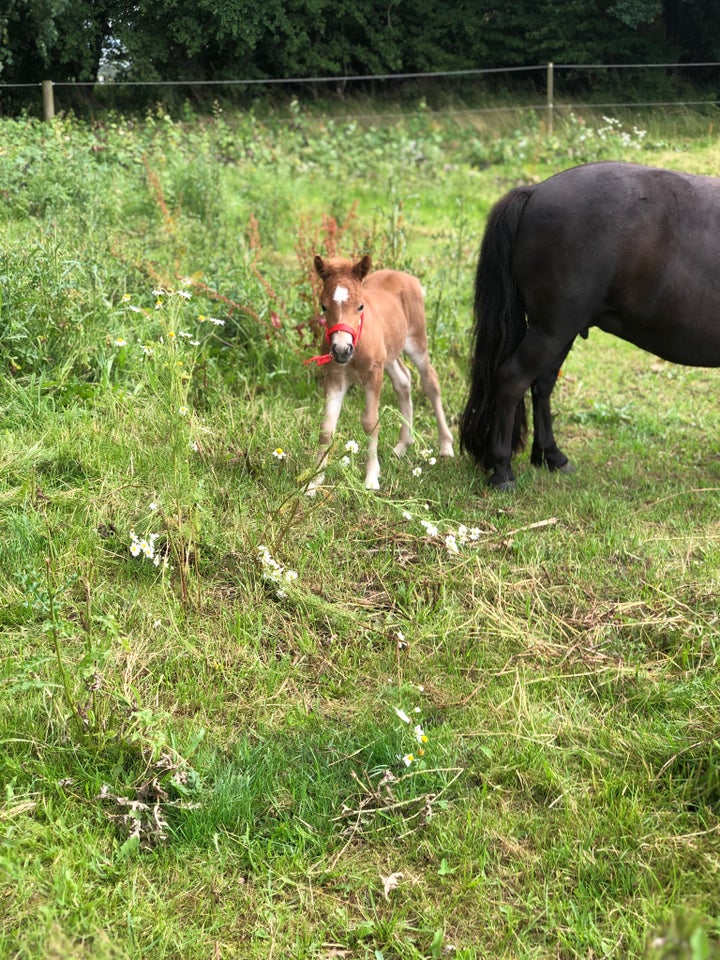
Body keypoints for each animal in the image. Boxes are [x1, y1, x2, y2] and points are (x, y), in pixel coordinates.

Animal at [458, 163, 720, 488]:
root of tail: (536, 191)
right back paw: (503, 470)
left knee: (541, 384)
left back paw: (552, 456)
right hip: (553, 328)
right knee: (512, 380)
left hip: (559, 331)